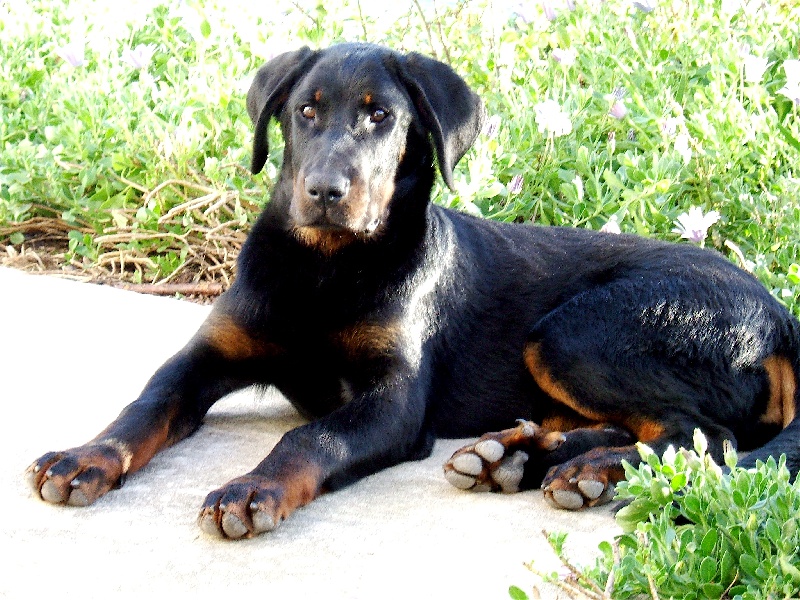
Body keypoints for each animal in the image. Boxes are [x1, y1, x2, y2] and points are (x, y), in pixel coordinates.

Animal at [28, 43, 800, 538]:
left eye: (383, 117)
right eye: (304, 111)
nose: (325, 192)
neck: (326, 269)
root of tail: (779, 317)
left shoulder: (394, 401)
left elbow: (312, 437)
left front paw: (254, 488)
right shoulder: (206, 355)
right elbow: (145, 405)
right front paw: (85, 456)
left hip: (572, 333)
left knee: (702, 437)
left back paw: (577, 469)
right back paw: (516, 457)